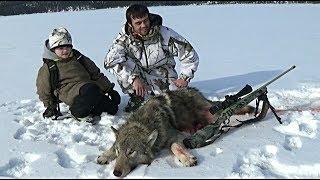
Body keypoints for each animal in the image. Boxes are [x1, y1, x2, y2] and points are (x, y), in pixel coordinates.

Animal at [96, 87, 254, 177]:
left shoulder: (176, 136)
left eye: (131, 152)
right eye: (119, 151)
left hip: (211, 114)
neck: (145, 122)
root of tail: (198, 93)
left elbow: (175, 146)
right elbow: (110, 147)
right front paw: (104, 156)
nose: (116, 173)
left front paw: (187, 159)